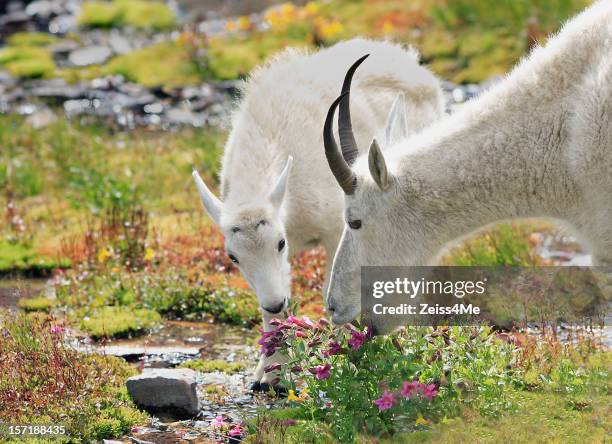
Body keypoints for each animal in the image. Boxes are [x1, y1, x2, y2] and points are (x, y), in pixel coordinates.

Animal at [192, 38, 444, 386]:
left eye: (280, 243)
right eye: (233, 257)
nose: (274, 302)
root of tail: (416, 65)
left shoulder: (336, 231)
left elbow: (332, 292)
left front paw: (345, 360)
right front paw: (271, 374)